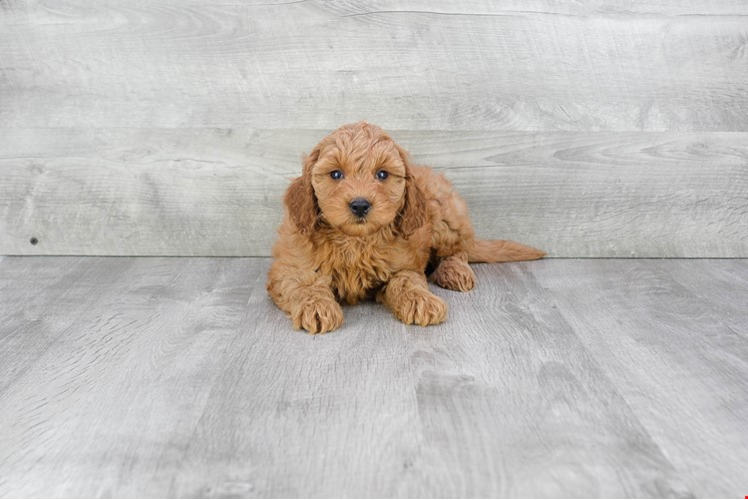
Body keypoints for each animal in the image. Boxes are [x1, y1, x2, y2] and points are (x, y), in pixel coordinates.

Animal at [268, 121, 544, 334]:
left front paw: (421, 300)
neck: (355, 241)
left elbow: (406, 281)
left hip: (444, 216)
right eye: (335, 174)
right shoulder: (290, 266)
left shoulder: (405, 263)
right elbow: (304, 285)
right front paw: (318, 307)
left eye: (382, 174)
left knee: (459, 250)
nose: (360, 205)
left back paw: (454, 271)